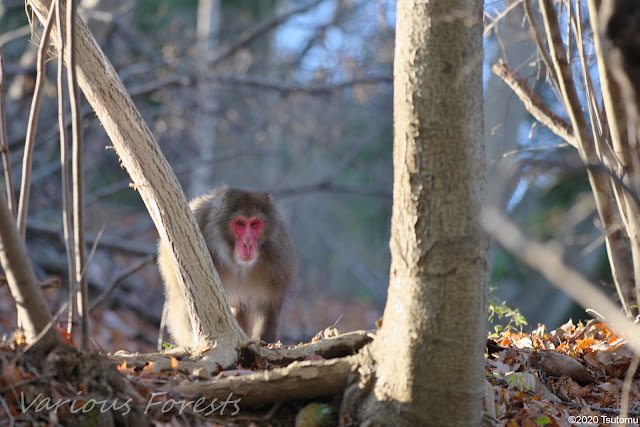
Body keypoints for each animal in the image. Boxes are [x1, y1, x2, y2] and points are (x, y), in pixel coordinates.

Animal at [160, 186, 300, 346]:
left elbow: (270, 305)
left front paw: (264, 343)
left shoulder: (279, 263)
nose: (248, 244)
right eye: (240, 223)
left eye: (254, 224)